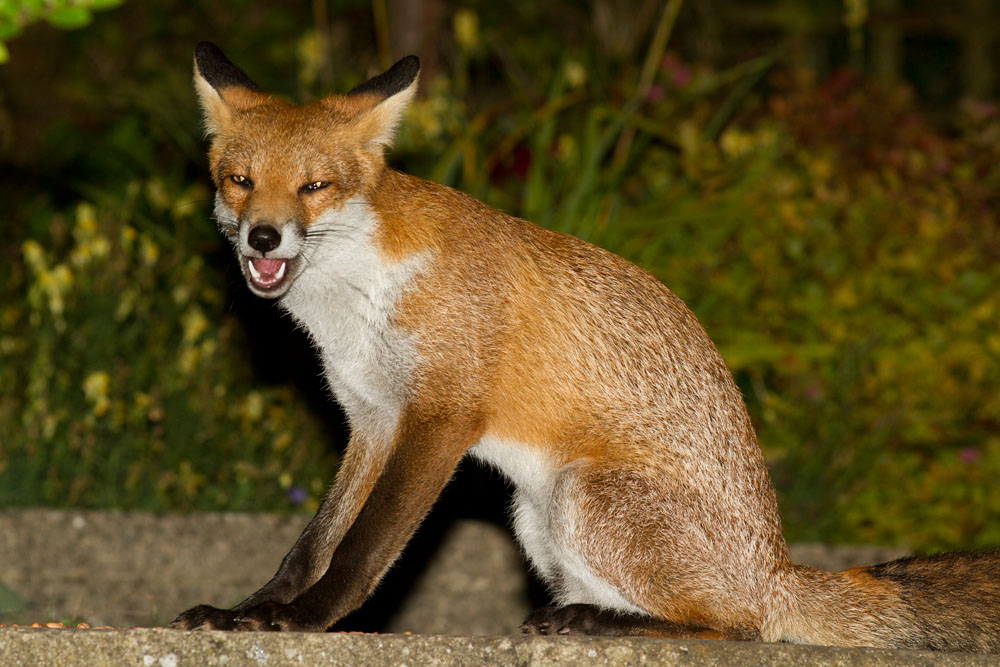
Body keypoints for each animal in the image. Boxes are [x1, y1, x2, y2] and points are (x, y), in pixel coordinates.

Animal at [171, 42, 1000, 652]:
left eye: (314, 187)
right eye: (240, 180)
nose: (263, 237)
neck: (356, 297)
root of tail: (778, 567)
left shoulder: (439, 416)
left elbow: (362, 549)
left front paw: (305, 621)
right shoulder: (373, 419)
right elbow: (311, 542)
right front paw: (250, 609)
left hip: (586, 493)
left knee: (737, 626)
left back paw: (605, 623)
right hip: (538, 520)